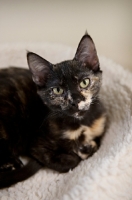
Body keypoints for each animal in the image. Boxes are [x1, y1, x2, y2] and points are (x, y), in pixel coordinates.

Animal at [0, 33, 105, 188]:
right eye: (57, 90)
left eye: (84, 82)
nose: (75, 101)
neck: (80, 123)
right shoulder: (36, 146)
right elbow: (72, 161)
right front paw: (80, 151)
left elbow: (96, 144)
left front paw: (86, 148)